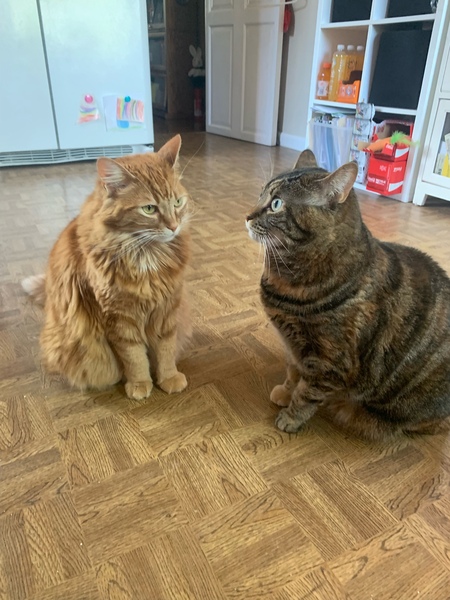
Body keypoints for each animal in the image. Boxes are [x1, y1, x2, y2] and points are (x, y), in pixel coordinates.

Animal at [22, 135, 192, 398]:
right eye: (149, 209)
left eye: (177, 202)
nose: (174, 227)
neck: (147, 255)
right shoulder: (118, 317)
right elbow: (134, 357)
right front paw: (140, 383)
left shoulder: (168, 309)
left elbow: (165, 349)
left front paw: (168, 377)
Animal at [246, 149, 450, 440]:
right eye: (261, 195)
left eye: (276, 204)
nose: (248, 216)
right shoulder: (295, 348)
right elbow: (293, 372)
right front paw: (284, 392)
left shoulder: (330, 364)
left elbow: (306, 394)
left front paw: (290, 418)